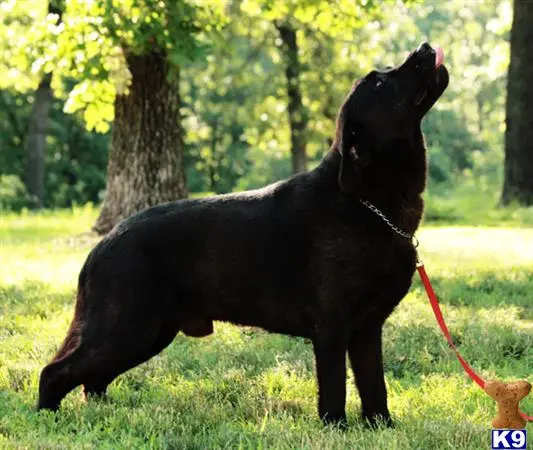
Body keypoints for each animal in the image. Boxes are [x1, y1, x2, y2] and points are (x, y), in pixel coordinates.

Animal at [37, 43, 446, 428]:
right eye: (380, 82)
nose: (426, 47)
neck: (366, 201)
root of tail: (102, 245)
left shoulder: (366, 329)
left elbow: (374, 386)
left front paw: (382, 427)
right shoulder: (332, 326)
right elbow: (335, 388)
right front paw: (336, 428)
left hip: (147, 333)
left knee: (93, 379)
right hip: (128, 328)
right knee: (55, 372)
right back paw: (47, 417)